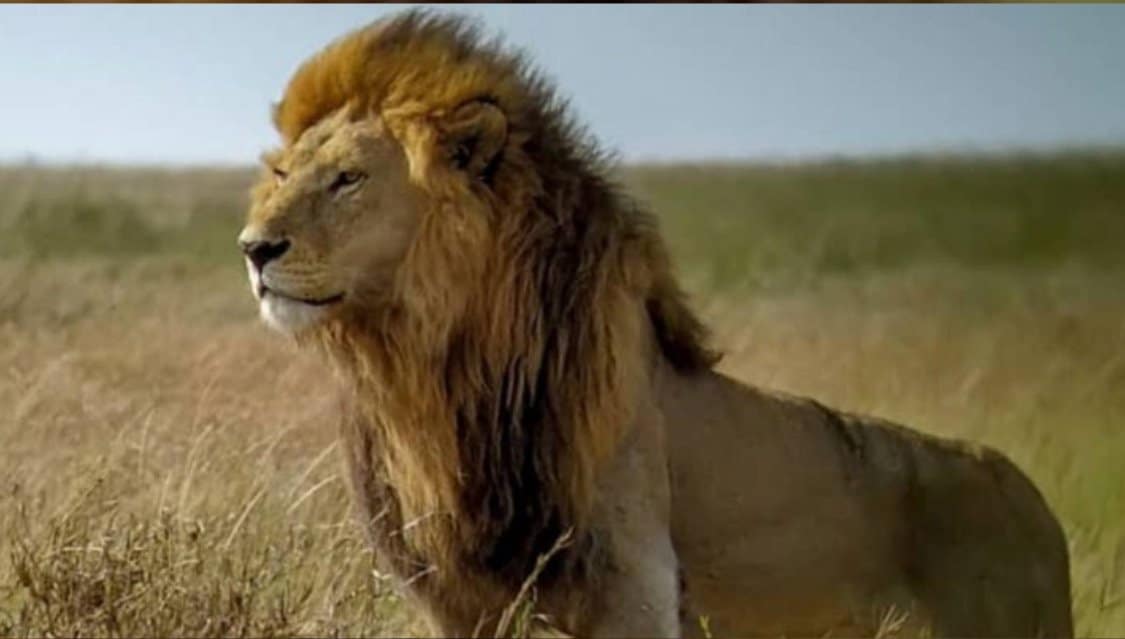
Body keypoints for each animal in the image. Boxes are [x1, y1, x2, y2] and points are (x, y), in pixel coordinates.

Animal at [238, 10, 1074, 638]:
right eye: (281, 174)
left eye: (348, 179)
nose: (253, 248)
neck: (433, 384)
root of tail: (1031, 498)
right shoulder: (459, 604)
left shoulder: (632, 587)